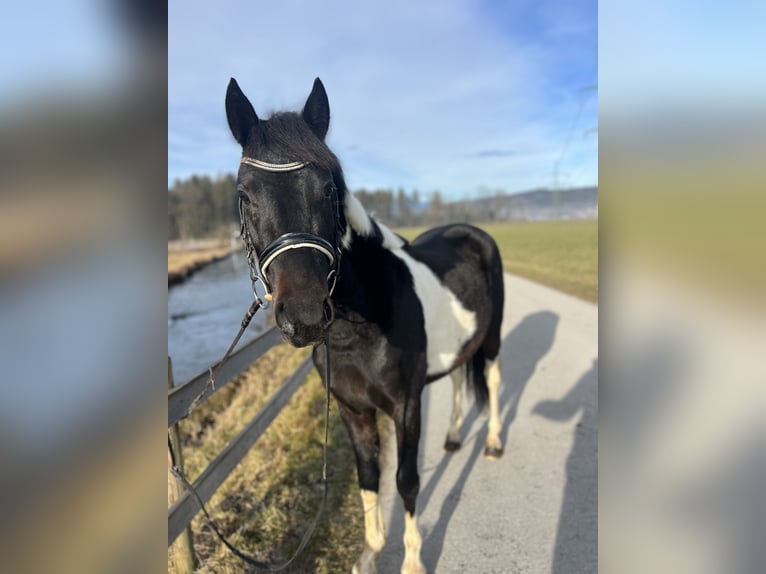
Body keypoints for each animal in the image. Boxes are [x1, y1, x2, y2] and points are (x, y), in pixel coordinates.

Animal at [225, 77, 508, 574]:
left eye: (327, 188)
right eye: (244, 195)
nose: (304, 316)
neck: (357, 330)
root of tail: (472, 232)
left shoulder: (406, 407)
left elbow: (406, 480)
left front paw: (412, 563)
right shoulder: (353, 410)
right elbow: (369, 477)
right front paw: (371, 552)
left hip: (490, 340)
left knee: (491, 381)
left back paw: (491, 443)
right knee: (459, 379)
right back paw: (454, 439)